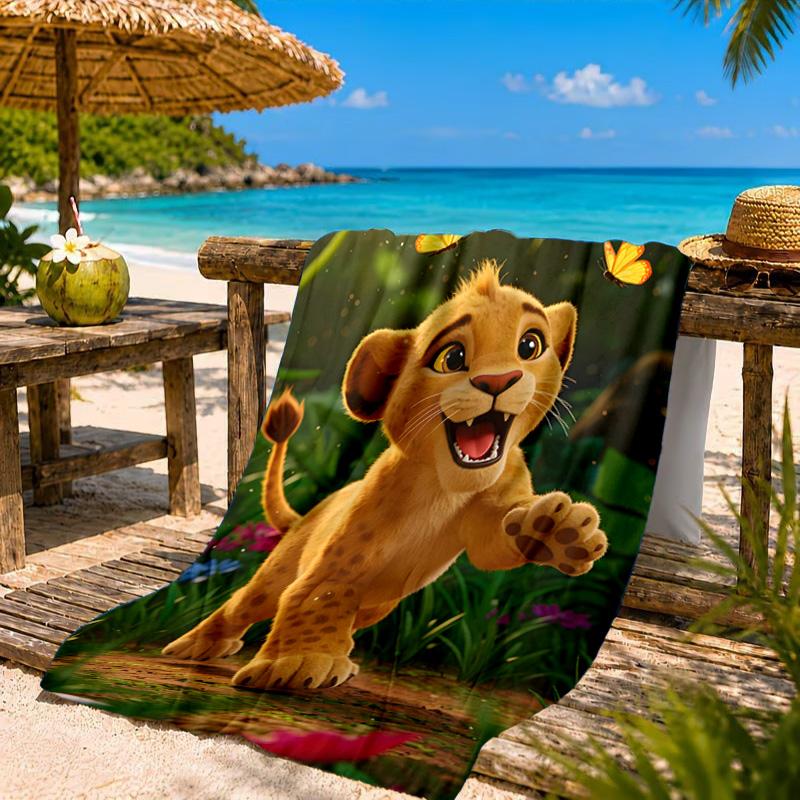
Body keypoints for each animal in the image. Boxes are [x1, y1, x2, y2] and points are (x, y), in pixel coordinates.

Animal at [163, 260, 607, 690]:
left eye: (530, 345)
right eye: (452, 358)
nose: (498, 380)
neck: (443, 485)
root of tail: (307, 515)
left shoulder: (494, 505)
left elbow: (497, 541)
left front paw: (555, 531)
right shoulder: (344, 553)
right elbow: (318, 592)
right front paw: (300, 661)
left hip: (377, 606)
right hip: (277, 574)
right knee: (244, 603)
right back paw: (195, 643)